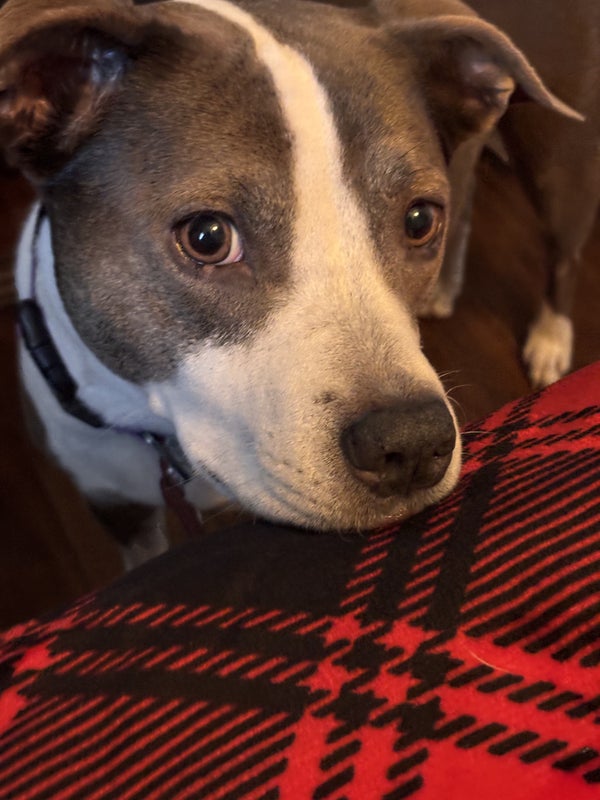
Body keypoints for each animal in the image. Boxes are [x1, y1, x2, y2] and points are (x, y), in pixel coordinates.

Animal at [0, 0, 589, 565]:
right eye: (208, 237)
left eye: (418, 220)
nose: (412, 444)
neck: (158, 432)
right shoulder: (117, 507)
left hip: (557, 158)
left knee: (563, 254)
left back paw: (551, 338)